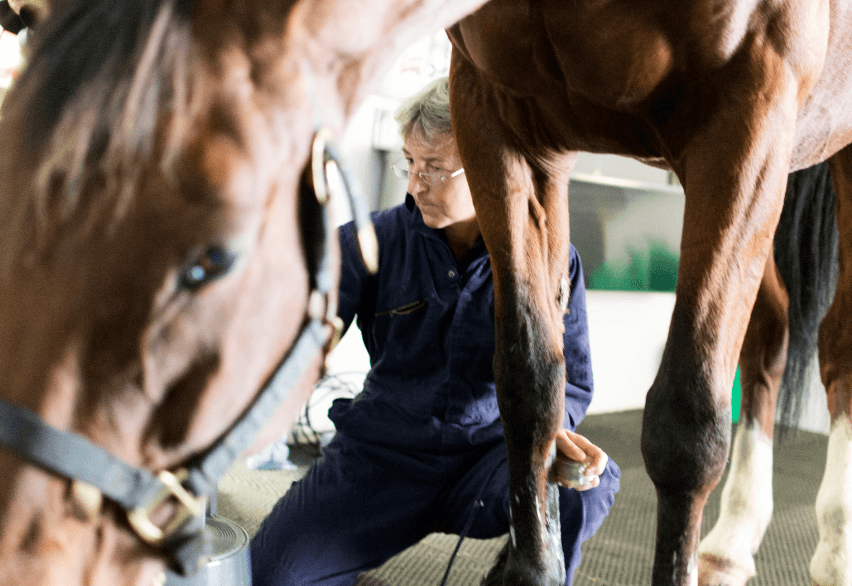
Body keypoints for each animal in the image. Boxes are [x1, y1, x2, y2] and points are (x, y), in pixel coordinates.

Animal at [446, 1, 852, 585]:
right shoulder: (496, 115)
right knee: (770, 331)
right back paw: (731, 542)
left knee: (839, 342)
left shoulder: (748, 118)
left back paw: (837, 549)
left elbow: (687, 421)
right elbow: (530, 380)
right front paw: (532, 568)